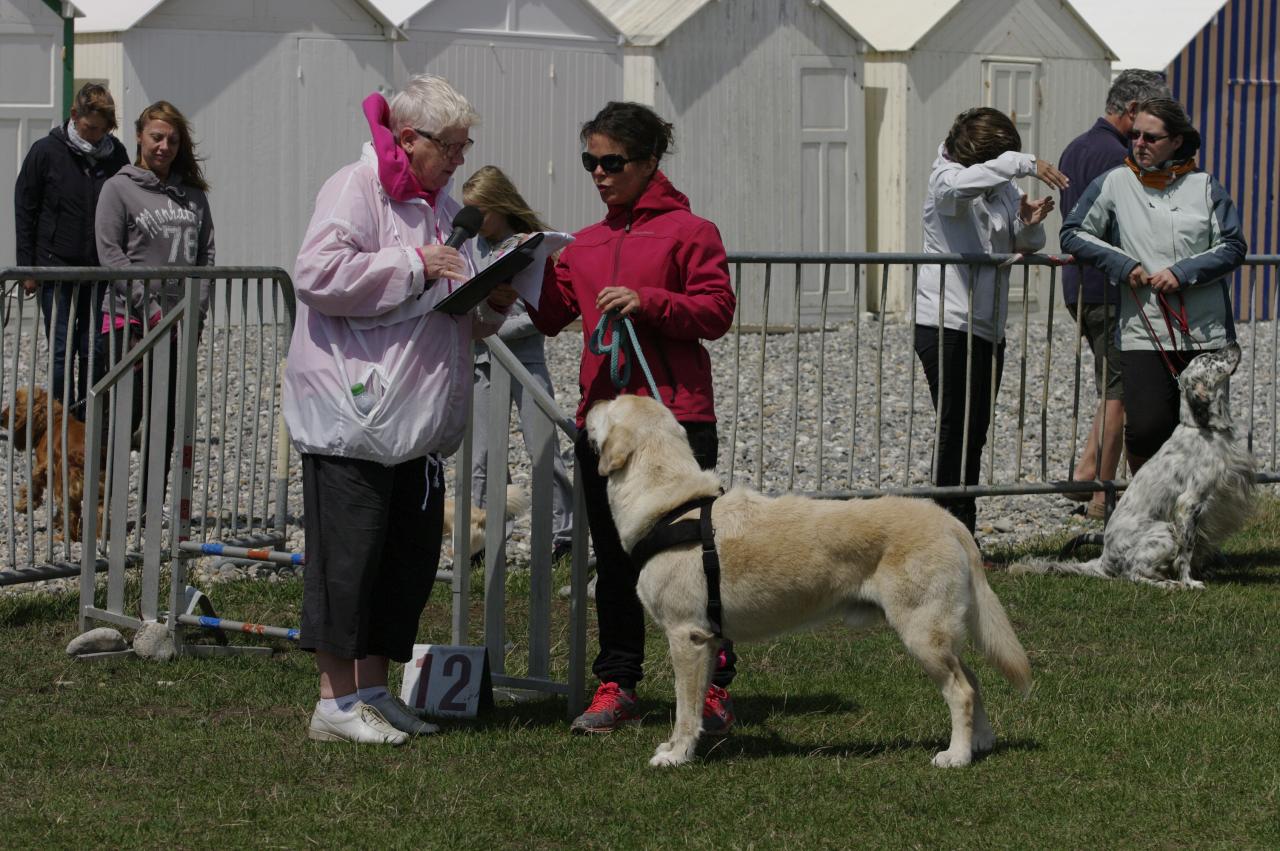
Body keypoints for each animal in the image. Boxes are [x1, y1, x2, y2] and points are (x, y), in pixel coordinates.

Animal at [2, 383, 104, 537]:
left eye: (17, 401)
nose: (0, 417)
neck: (53, 421)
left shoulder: (43, 465)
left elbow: (34, 483)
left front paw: (23, 505)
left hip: (63, 487)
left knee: (71, 515)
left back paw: (60, 537)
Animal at [586, 394, 1034, 767]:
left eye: (611, 402)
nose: (588, 403)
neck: (673, 506)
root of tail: (949, 521)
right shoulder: (708, 640)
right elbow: (695, 705)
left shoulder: (687, 637)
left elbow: (685, 709)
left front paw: (677, 754)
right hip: (938, 633)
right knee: (973, 681)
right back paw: (980, 743)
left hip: (922, 632)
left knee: (961, 691)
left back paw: (956, 756)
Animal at [1013, 342, 1254, 588]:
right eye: (1209, 358)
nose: (1233, 343)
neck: (1203, 429)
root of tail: (1103, 560)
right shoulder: (1189, 503)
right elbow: (1186, 551)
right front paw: (1189, 582)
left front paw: (1203, 572)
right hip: (1164, 531)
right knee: (1133, 574)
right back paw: (1168, 584)